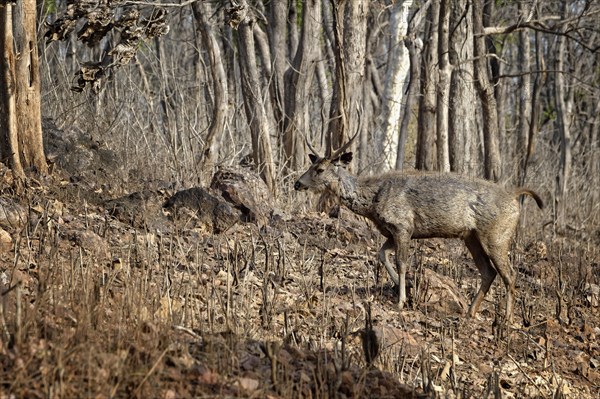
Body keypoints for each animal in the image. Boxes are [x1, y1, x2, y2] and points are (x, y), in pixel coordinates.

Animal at [296, 136, 544, 324]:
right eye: (310, 165)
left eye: (320, 169)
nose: (298, 183)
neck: (373, 201)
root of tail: (514, 197)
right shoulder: (392, 231)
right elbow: (381, 254)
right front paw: (405, 288)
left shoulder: (403, 225)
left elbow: (402, 263)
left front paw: (401, 300)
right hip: (471, 237)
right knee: (488, 272)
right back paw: (470, 312)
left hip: (497, 235)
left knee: (509, 274)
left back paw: (507, 319)